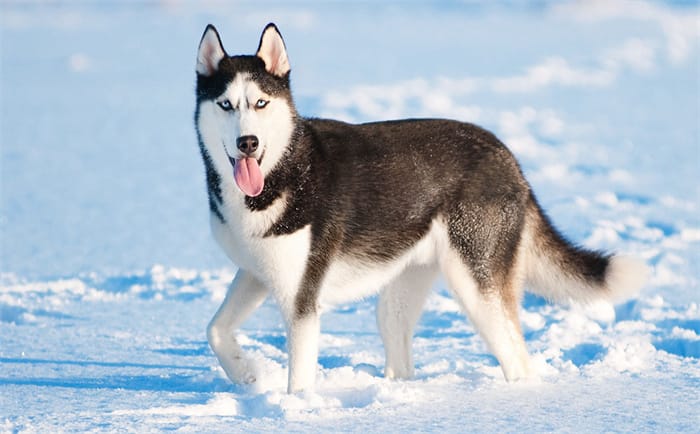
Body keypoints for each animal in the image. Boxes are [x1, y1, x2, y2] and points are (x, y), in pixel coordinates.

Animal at [193, 22, 652, 392]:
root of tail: (506, 155)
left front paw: (294, 408)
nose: (247, 142)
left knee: (518, 360)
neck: (283, 170)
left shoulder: (302, 300)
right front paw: (247, 372)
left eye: (261, 103)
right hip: (399, 294)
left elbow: (299, 380)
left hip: (475, 286)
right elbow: (214, 329)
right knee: (401, 356)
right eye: (226, 104)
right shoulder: (256, 274)